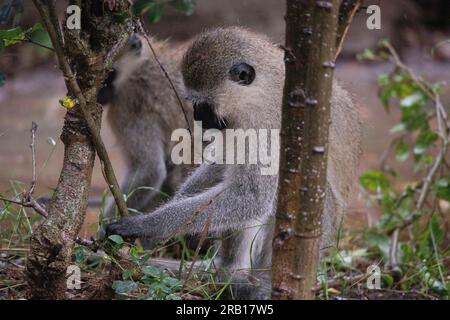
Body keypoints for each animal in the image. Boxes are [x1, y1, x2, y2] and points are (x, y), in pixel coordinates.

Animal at [106, 26, 362, 298]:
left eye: (203, 104)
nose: (197, 117)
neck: (261, 92)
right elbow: (223, 161)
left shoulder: (265, 122)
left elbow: (250, 195)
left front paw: (146, 225)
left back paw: (237, 276)